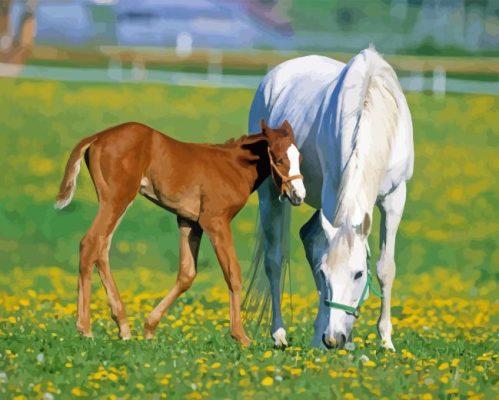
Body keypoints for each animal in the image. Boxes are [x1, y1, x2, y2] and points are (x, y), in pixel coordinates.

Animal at [54, 120, 304, 346]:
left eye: (300, 159)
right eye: (279, 159)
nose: (298, 195)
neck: (232, 165)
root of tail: (96, 137)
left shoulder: (189, 221)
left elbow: (187, 274)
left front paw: (150, 328)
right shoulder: (215, 220)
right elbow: (233, 273)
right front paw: (240, 336)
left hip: (115, 201)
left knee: (102, 247)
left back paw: (123, 327)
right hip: (118, 198)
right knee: (90, 243)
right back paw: (85, 329)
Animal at [245, 47, 414, 350]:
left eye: (359, 274)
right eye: (325, 274)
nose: (334, 338)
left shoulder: (395, 196)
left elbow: (385, 267)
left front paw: (385, 340)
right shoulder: (333, 193)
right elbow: (319, 255)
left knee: (308, 236)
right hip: (270, 194)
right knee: (275, 259)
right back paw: (281, 334)